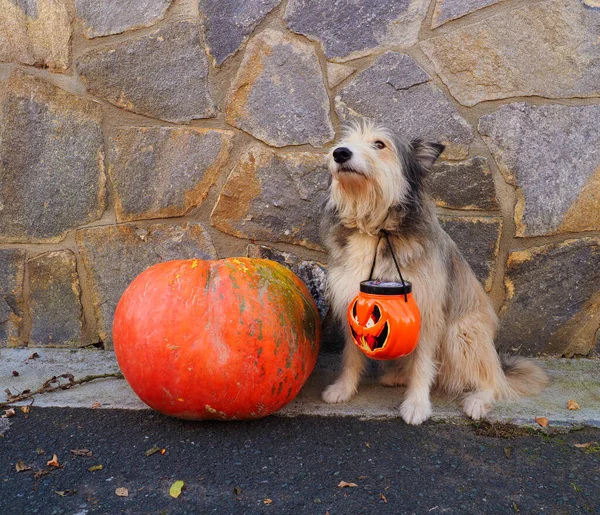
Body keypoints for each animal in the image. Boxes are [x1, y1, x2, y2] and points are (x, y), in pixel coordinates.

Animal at [324, 122, 548, 428]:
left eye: (380, 144)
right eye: (344, 141)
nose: (340, 153)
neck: (374, 228)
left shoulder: (427, 310)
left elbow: (422, 364)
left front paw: (417, 404)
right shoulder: (354, 302)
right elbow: (351, 355)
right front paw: (343, 389)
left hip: (462, 332)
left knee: (492, 381)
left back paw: (478, 399)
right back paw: (397, 375)